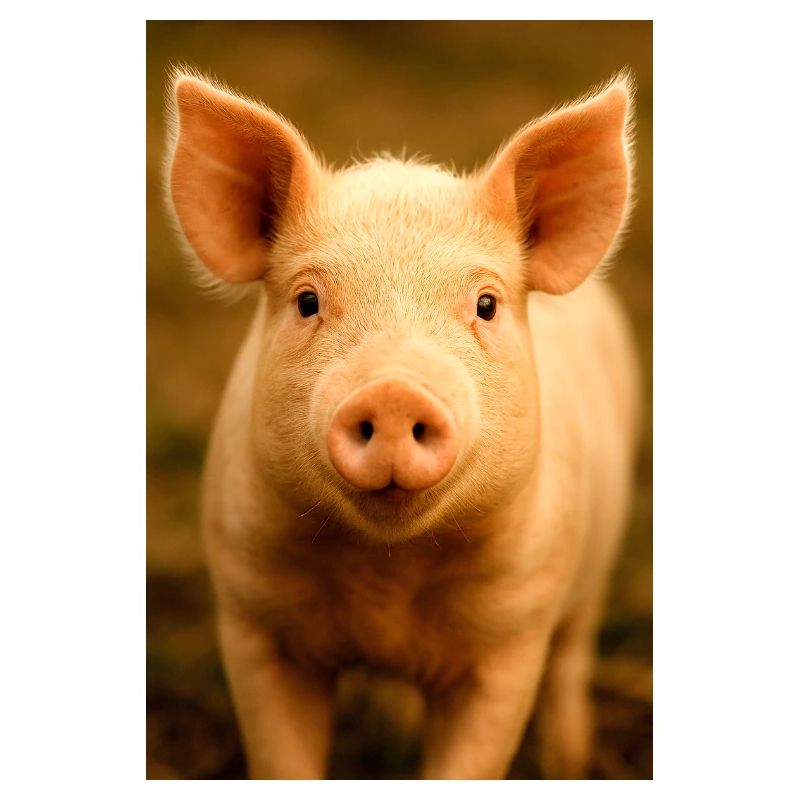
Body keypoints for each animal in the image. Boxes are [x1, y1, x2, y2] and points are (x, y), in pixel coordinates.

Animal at [165, 68, 641, 780]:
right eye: (308, 300)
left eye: (486, 304)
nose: (393, 392)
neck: (385, 581)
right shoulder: (252, 617)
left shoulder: (511, 640)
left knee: (571, 657)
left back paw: (569, 763)